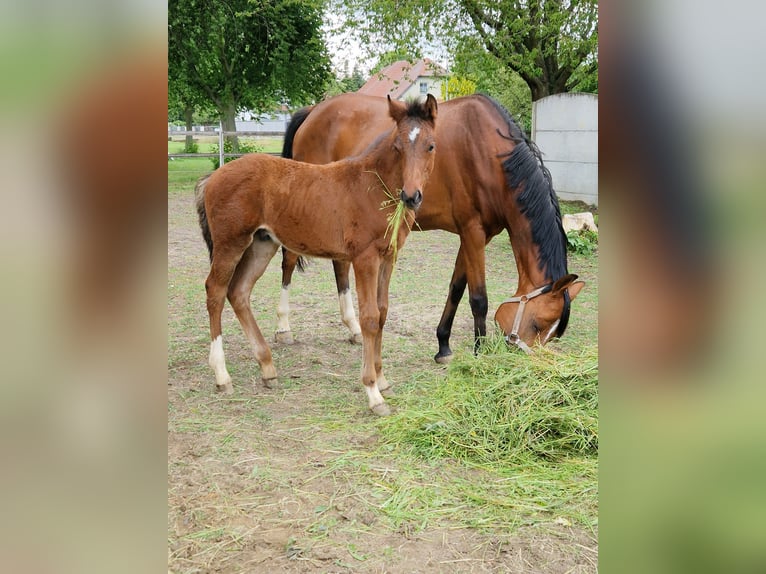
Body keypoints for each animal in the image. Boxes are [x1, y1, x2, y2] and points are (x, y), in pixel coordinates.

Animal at [195, 94, 438, 416]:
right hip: (230, 244)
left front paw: (383, 379)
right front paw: (373, 393)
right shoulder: (365, 258)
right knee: (216, 292)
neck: (374, 186)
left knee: (239, 292)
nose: (411, 196)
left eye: (430, 145)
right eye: (397, 146)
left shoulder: (389, 257)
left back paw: (267, 367)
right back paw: (222, 375)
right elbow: (370, 317)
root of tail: (211, 178)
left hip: (262, 244)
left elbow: (383, 312)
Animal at [278, 92, 585, 361]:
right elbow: (478, 298)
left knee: (339, 265)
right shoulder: (472, 232)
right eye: (538, 325)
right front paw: (480, 352)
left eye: (553, 334)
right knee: (289, 260)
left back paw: (353, 328)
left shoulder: (475, 235)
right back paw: (284, 328)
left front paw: (443, 345)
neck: (488, 153)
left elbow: (457, 288)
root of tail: (313, 111)